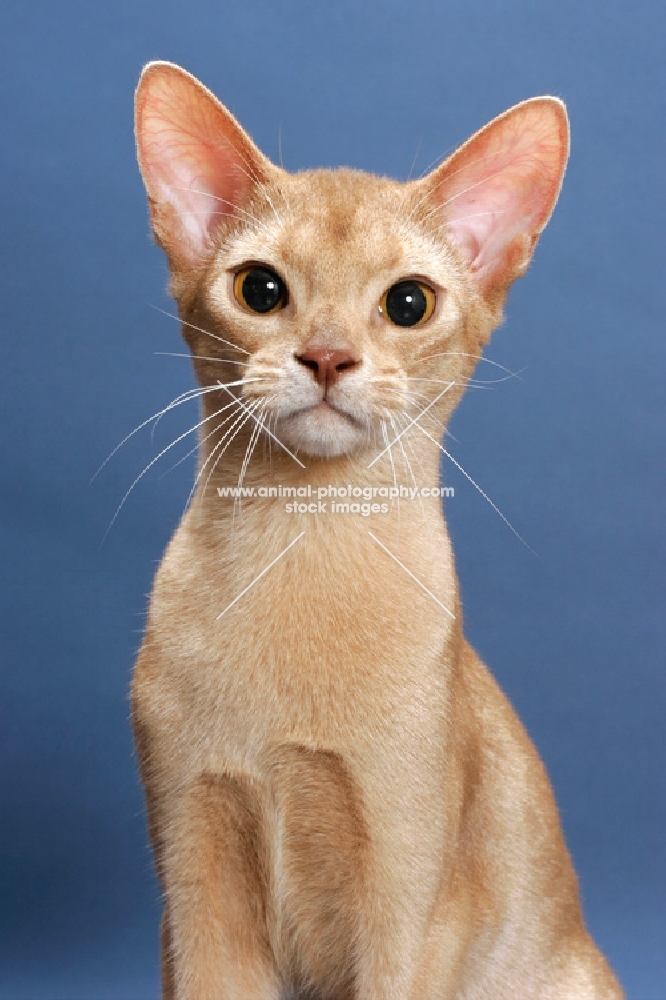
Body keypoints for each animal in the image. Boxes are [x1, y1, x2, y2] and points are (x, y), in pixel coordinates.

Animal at [131, 62, 624, 1000]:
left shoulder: (407, 902)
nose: (327, 357)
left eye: (407, 303)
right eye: (260, 290)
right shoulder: (194, 872)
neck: (301, 539)